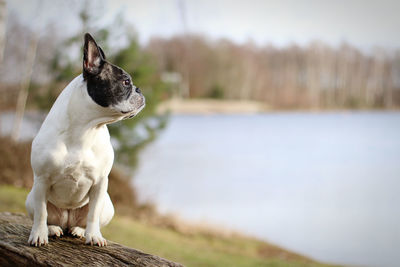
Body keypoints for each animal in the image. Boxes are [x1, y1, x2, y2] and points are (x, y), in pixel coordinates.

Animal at [25, 33, 145, 247]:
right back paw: (52, 229)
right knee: (46, 215)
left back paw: (79, 230)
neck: (86, 128)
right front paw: (38, 235)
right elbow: (41, 213)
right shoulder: (41, 180)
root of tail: (67, 221)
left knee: (86, 218)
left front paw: (94, 236)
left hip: (108, 206)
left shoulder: (100, 183)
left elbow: (93, 214)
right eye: (125, 82)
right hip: (30, 198)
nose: (139, 90)